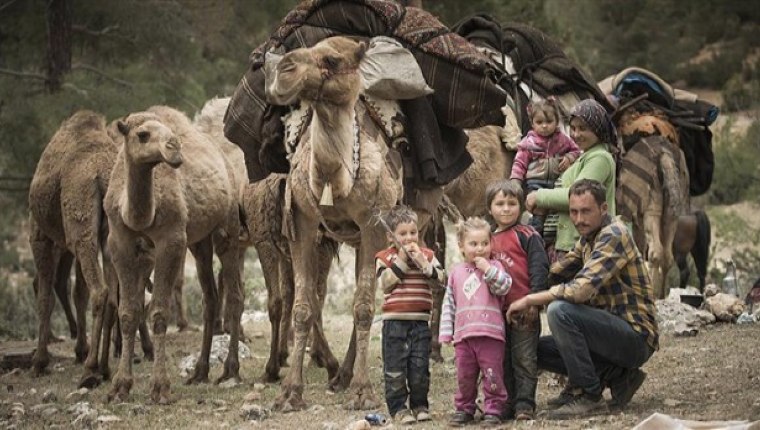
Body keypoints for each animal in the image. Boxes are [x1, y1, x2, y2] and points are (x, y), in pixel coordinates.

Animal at [104, 105, 243, 404]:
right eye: (142, 134)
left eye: (168, 132)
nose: (174, 147)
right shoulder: (119, 241)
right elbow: (128, 311)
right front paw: (119, 386)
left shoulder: (171, 240)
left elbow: (158, 312)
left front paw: (160, 388)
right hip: (199, 242)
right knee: (210, 298)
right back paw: (200, 372)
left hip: (227, 228)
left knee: (235, 295)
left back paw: (230, 371)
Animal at [266, 36, 410, 410]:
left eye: (331, 60)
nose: (283, 69)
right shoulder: (301, 221)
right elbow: (304, 306)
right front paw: (289, 392)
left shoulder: (374, 223)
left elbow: (363, 307)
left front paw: (364, 392)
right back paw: (340, 376)